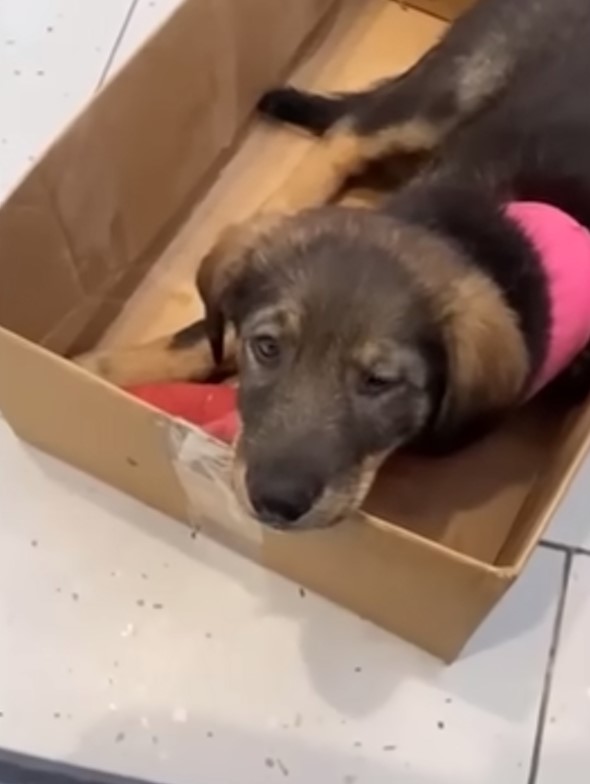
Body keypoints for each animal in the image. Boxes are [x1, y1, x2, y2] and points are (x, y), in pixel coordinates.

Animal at [77, 0, 590, 532]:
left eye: (380, 382)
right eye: (268, 348)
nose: (275, 502)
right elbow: (197, 341)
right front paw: (93, 368)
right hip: (454, 87)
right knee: (348, 136)